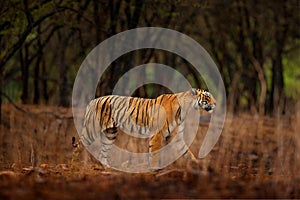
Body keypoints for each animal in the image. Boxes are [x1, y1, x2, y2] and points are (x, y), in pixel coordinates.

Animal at [79, 88, 216, 170]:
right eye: (207, 97)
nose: (215, 104)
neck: (186, 109)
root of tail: (92, 101)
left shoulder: (176, 137)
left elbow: (186, 152)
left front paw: (197, 165)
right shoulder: (157, 135)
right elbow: (154, 154)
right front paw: (154, 170)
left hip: (110, 134)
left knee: (102, 152)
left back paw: (108, 168)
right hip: (91, 130)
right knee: (81, 143)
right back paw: (77, 164)